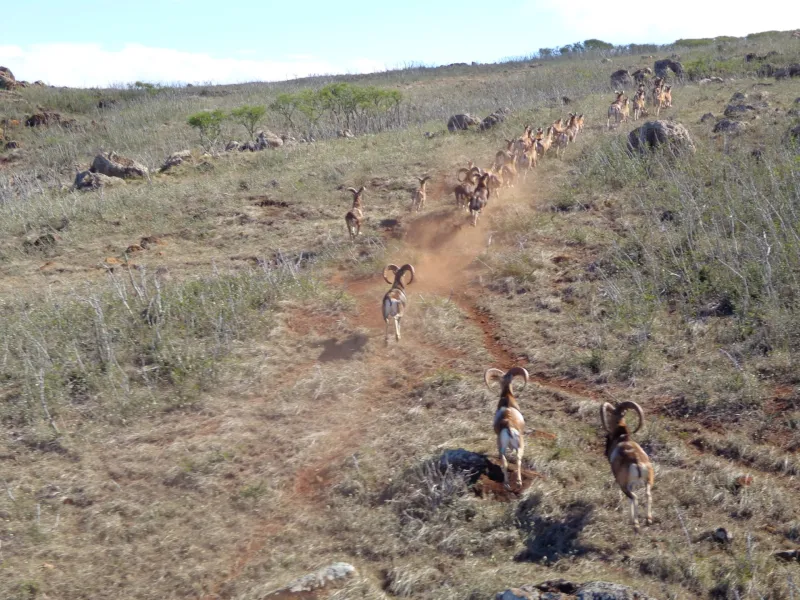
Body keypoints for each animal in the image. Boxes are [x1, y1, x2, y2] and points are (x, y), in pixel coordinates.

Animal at [600, 401, 654, 532]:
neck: (622, 437)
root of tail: (637, 462)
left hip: (624, 486)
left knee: (634, 497)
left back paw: (636, 524)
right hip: (648, 481)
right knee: (648, 494)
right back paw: (648, 520)